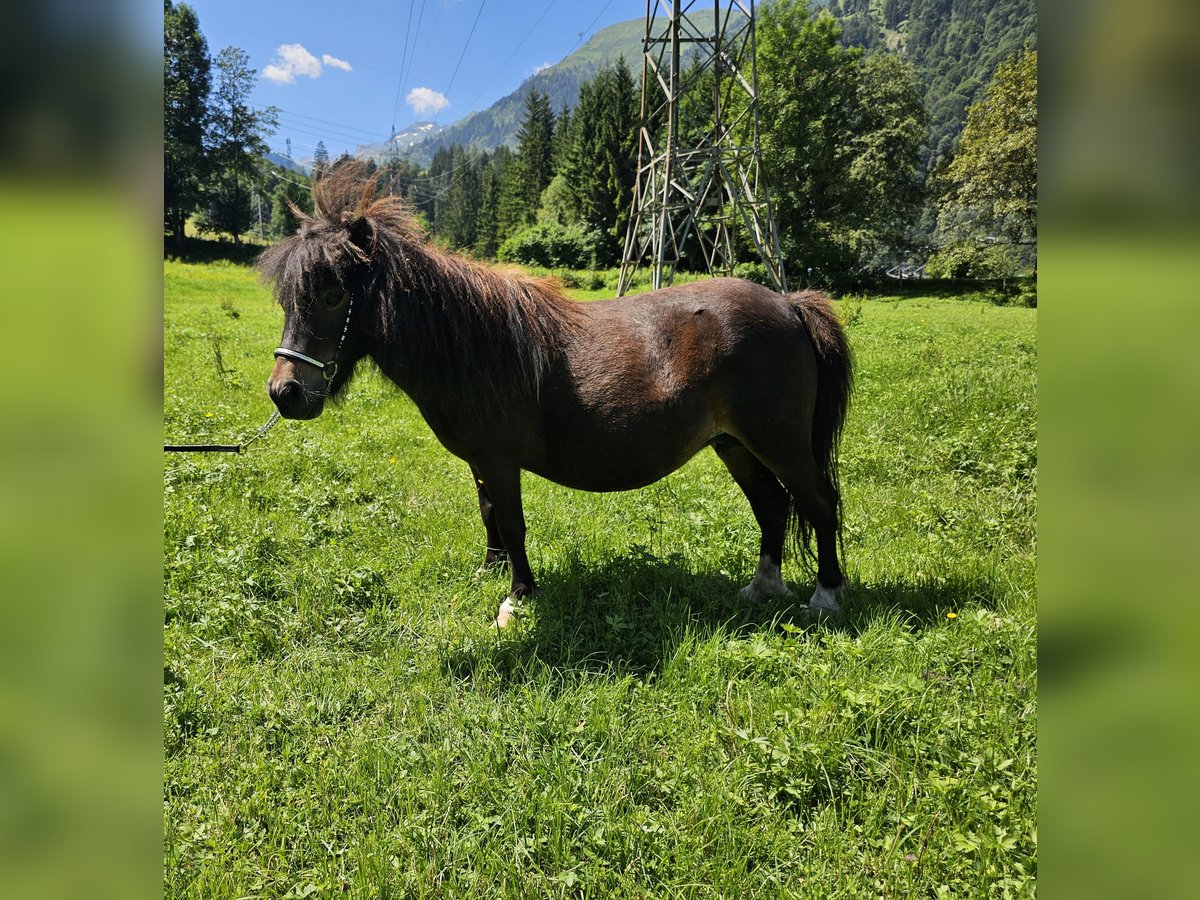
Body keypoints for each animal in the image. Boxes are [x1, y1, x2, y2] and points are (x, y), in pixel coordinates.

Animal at [260, 164, 854, 628]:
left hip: (780, 444)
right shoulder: (479, 463)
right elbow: (489, 515)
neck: (475, 344)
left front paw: (518, 597)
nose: (285, 393)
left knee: (818, 502)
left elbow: (513, 523)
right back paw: (762, 588)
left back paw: (826, 595)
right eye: (288, 299)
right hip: (735, 445)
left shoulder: (500, 460)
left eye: (333, 295)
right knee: (773, 505)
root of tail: (789, 305)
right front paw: (490, 571)